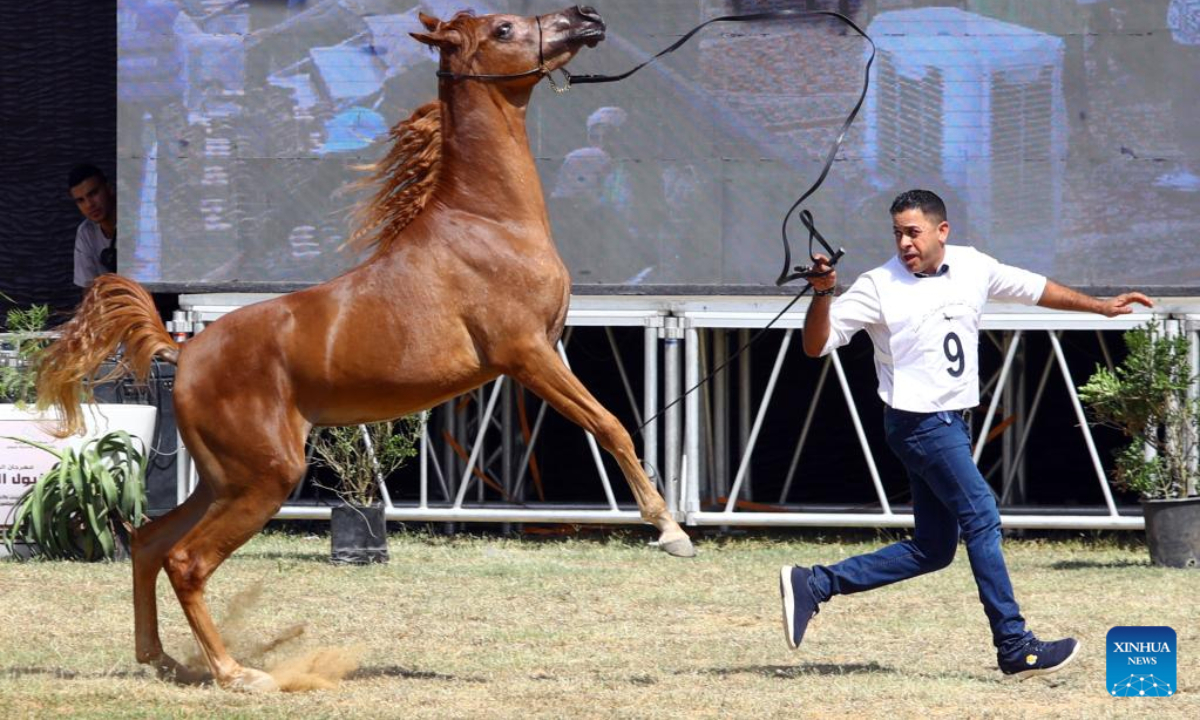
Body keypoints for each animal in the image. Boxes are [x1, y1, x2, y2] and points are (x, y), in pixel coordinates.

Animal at [37, 5, 696, 691]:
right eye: (506, 29)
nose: (584, 17)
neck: (487, 222)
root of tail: (184, 352)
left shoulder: (542, 353)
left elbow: (610, 425)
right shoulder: (528, 355)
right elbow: (612, 425)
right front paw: (670, 530)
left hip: (226, 479)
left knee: (149, 542)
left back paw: (162, 659)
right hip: (264, 478)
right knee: (187, 560)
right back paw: (238, 674)